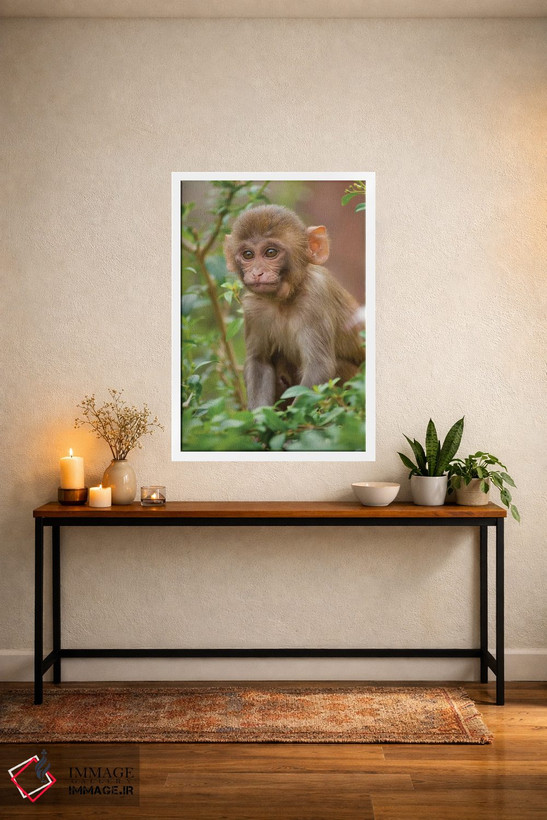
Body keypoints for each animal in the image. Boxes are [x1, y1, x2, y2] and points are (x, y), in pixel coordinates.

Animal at [223, 204, 365, 410]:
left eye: (271, 253)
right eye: (248, 255)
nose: (257, 273)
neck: (285, 300)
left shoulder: (316, 297)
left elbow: (319, 367)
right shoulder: (253, 308)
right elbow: (259, 362)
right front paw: (260, 418)